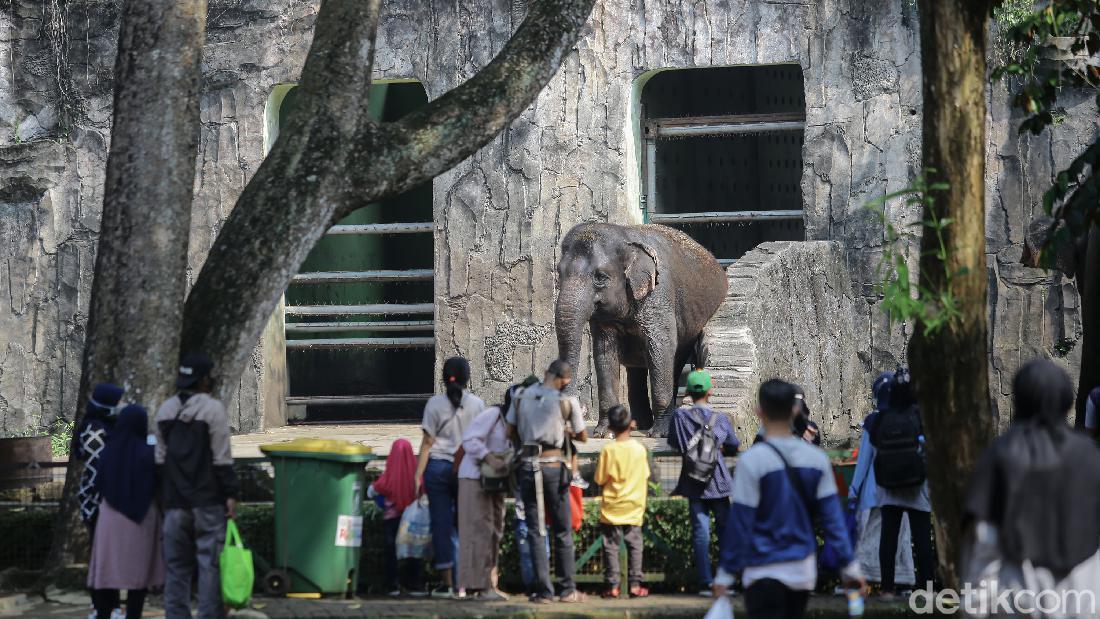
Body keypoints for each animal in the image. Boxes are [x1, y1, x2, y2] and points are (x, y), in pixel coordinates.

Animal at [558, 222, 730, 435]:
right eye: (559, 272)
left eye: (600, 277)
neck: (626, 237)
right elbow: (604, 353)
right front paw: (604, 433)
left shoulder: (658, 295)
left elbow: (660, 349)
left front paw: (659, 433)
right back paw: (639, 424)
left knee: (674, 362)